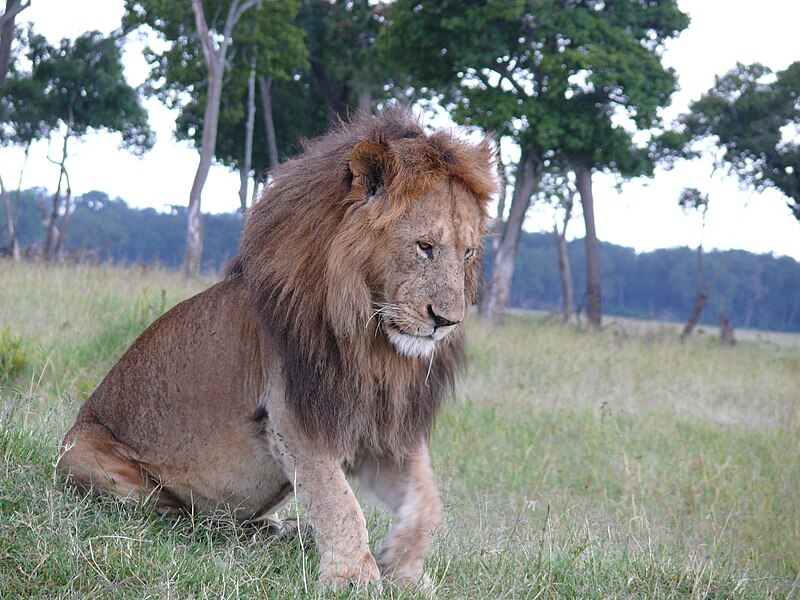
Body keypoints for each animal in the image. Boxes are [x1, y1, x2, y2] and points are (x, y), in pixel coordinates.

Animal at [57, 110, 494, 588]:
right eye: (424, 247)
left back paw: (279, 529)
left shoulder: (380, 425)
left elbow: (427, 502)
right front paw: (353, 579)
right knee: (177, 512)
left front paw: (406, 571)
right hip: (81, 454)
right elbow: (338, 500)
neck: (373, 346)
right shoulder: (294, 413)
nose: (446, 322)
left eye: (467, 253)